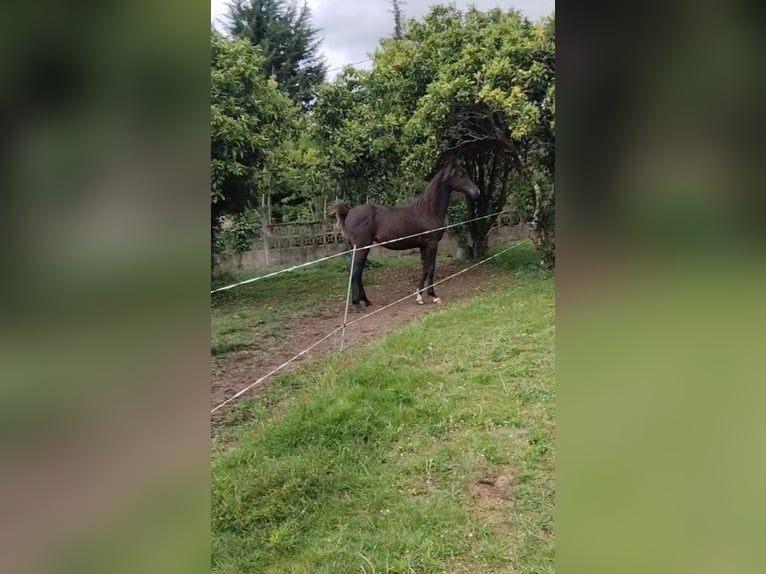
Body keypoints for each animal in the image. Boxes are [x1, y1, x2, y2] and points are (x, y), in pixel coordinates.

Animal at [331, 159, 480, 311]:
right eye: (460, 174)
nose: (477, 192)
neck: (429, 210)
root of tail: (348, 213)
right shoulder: (432, 244)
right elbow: (430, 268)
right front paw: (431, 296)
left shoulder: (423, 246)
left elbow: (425, 268)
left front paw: (421, 295)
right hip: (362, 247)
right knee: (355, 272)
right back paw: (357, 304)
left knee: (357, 272)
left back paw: (365, 301)